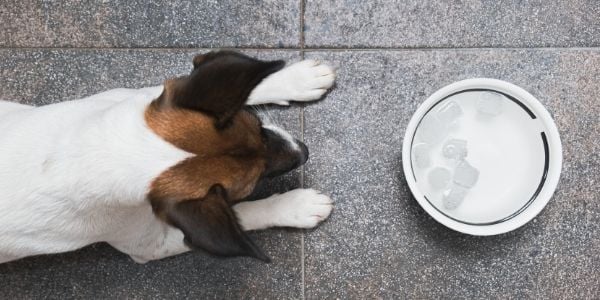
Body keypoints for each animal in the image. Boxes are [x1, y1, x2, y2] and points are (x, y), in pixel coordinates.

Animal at [0, 51, 338, 262]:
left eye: (257, 125)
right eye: (253, 183)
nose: (304, 151)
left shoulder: (135, 100)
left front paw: (296, 78)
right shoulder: (155, 244)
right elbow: (245, 214)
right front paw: (296, 206)